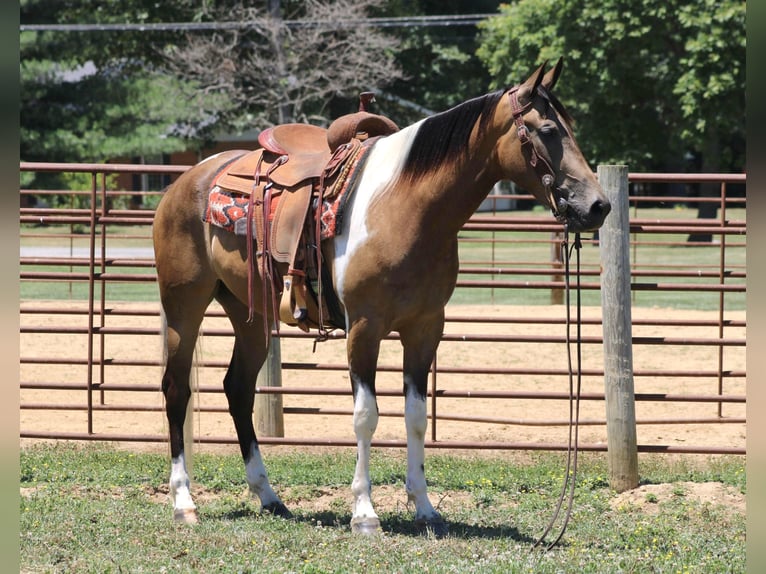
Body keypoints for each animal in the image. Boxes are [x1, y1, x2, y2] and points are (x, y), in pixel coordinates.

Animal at [153, 58, 616, 536]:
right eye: (548, 130)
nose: (598, 206)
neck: (404, 206)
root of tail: (187, 181)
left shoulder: (425, 328)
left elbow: (416, 416)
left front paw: (424, 506)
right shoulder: (364, 327)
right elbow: (366, 416)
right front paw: (364, 512)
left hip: (250, 316)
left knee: (238, 389)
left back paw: (269, 496)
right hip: (183, 305)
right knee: (176, 389)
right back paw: (184, 501)